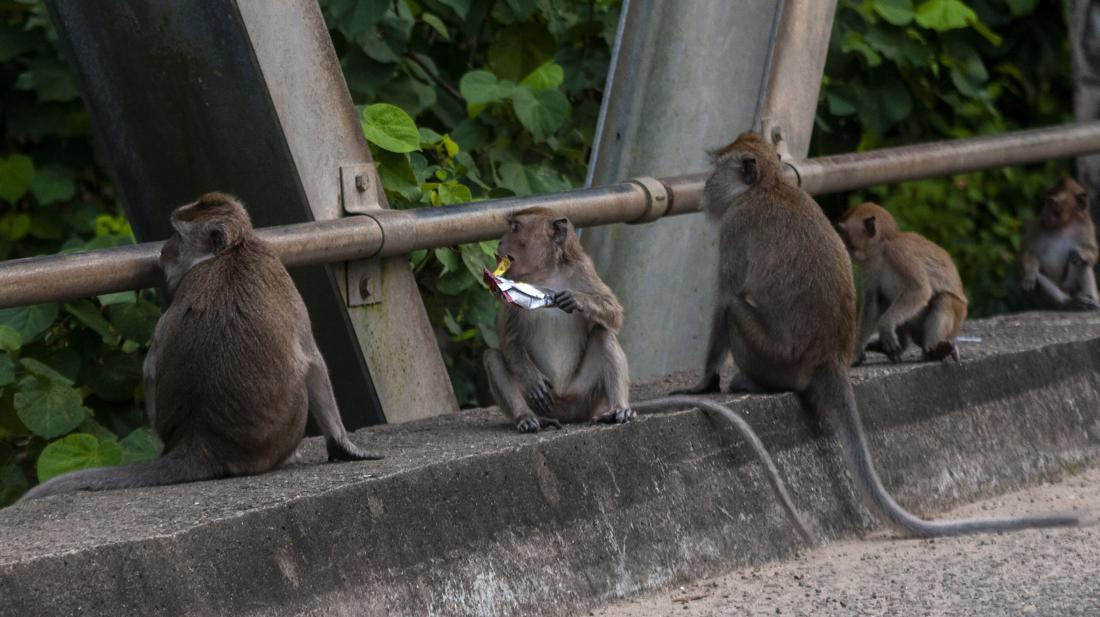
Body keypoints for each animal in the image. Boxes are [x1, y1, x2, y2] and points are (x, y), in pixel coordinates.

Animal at [20, 192, 382, 501]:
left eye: (177, 236)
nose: (163, 250)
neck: (233, 250)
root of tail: (201, 441)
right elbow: (313, 362)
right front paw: (343, 447)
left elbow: (151, 367)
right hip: (278, 440)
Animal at [484, 208, 633, 431]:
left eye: (515, 227)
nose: (500, 241)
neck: (546, 272)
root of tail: (566, 412)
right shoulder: (509, 285)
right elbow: (508, 338)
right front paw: (531, 376)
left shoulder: (583, 269)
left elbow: (614, 314)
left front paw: (577, 299)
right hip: (546, 402)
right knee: (492, 357)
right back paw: (528, 418)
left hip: (584, 395)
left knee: (603, 333)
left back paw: (617, 410)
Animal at [836, 202, 968, 365]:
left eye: (843, 232)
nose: (841, 243)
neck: (881, 250)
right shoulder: (869, 266)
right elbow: (872, 303)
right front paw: (856, 352)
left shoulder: (899, 253)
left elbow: (920, 290)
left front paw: (885, 326)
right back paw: (886, 346)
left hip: (956, 320)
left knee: (945, 299)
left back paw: (935, 352)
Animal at [1016, 175, 1095, 310]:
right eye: (1046, 201)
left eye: (1050, 202)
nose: (1043, 211)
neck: (1065, 224)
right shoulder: (1038, 224)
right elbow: (1027, 252)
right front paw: (1030, 273)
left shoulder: (1087, 227)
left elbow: (1093, 253)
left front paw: (1082, 253)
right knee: (1038, 280)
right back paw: (1067, 304)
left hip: (1069, 287)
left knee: (1080, 262)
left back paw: (1089, 299)